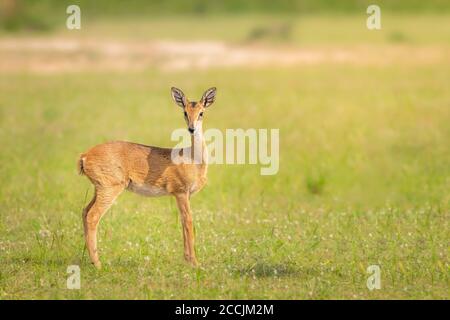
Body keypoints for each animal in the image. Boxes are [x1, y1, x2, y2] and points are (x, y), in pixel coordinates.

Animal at [78, 87, 216, 268]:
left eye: (201, 112)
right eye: (185, 112)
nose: (191, 129)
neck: (193, 159)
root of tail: (85, 156)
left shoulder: (186, 195)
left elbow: (183, 221)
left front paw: (187, 259)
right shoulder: (180, 192)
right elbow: (188, 221)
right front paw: (195, 262)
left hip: (99, 189)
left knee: (84, 211)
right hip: (109, 189)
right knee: (93, 216)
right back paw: (98, 264)